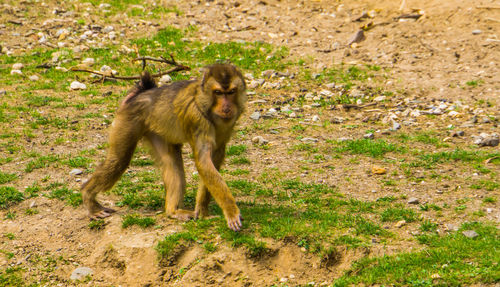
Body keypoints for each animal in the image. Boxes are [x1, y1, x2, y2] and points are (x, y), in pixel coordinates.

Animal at [80, 64, 246, 233]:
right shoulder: (196, 117)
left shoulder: (230, 120)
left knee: (171, 165)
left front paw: (202, 211)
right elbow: (204, 161)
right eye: (218, 93)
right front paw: (231, 210)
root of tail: (141, 94)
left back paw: (173, 211)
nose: (226, 108)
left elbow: (215, 157)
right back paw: (88, 197)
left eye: (231, 92)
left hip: (158, 131)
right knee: (119, 161)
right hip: (128, 119)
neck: (205, 104)